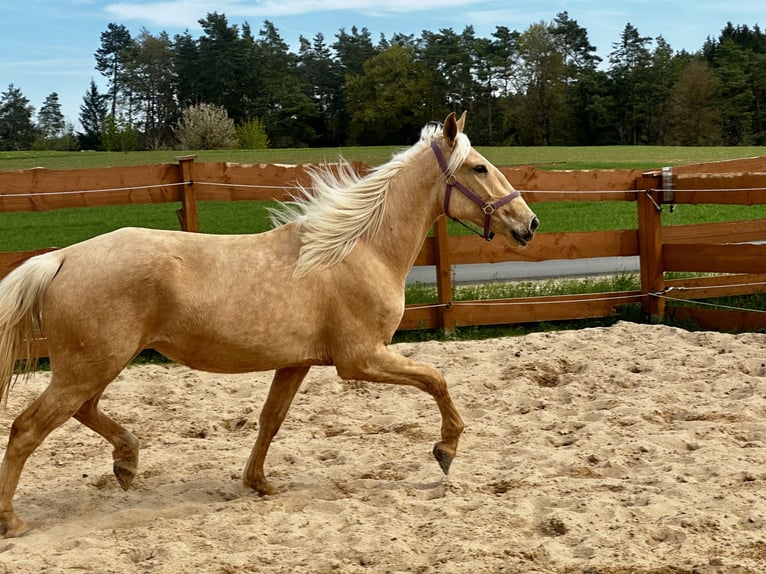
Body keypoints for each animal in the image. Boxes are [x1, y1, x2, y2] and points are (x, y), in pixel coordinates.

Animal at [0, 112, 538, 537]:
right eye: (479, 167)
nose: (529, 224)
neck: (357, 250)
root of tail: (61, 258)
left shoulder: (296, 363)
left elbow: (270, 421)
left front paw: (258, 483)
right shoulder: (360, 359)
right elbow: (436, 379)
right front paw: (446, 450)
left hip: (95, 366)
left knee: (83, 411)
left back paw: (127, 463)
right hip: (89, 365)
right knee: (28, 428)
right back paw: (14, 521)